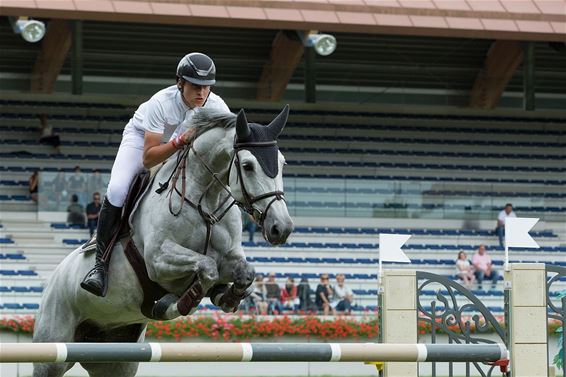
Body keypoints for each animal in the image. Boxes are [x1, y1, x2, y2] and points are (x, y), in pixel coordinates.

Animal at [33, 106, 296, 376]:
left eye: (282, 163)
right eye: (247, 165)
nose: (281, 228)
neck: (204, 201)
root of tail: (52, 280)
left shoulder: (231, 256)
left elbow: (244, 272)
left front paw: (226, 296)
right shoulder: (158, 260)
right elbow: (206, 267)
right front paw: (179, 302)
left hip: (117, 359)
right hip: (51, 352)